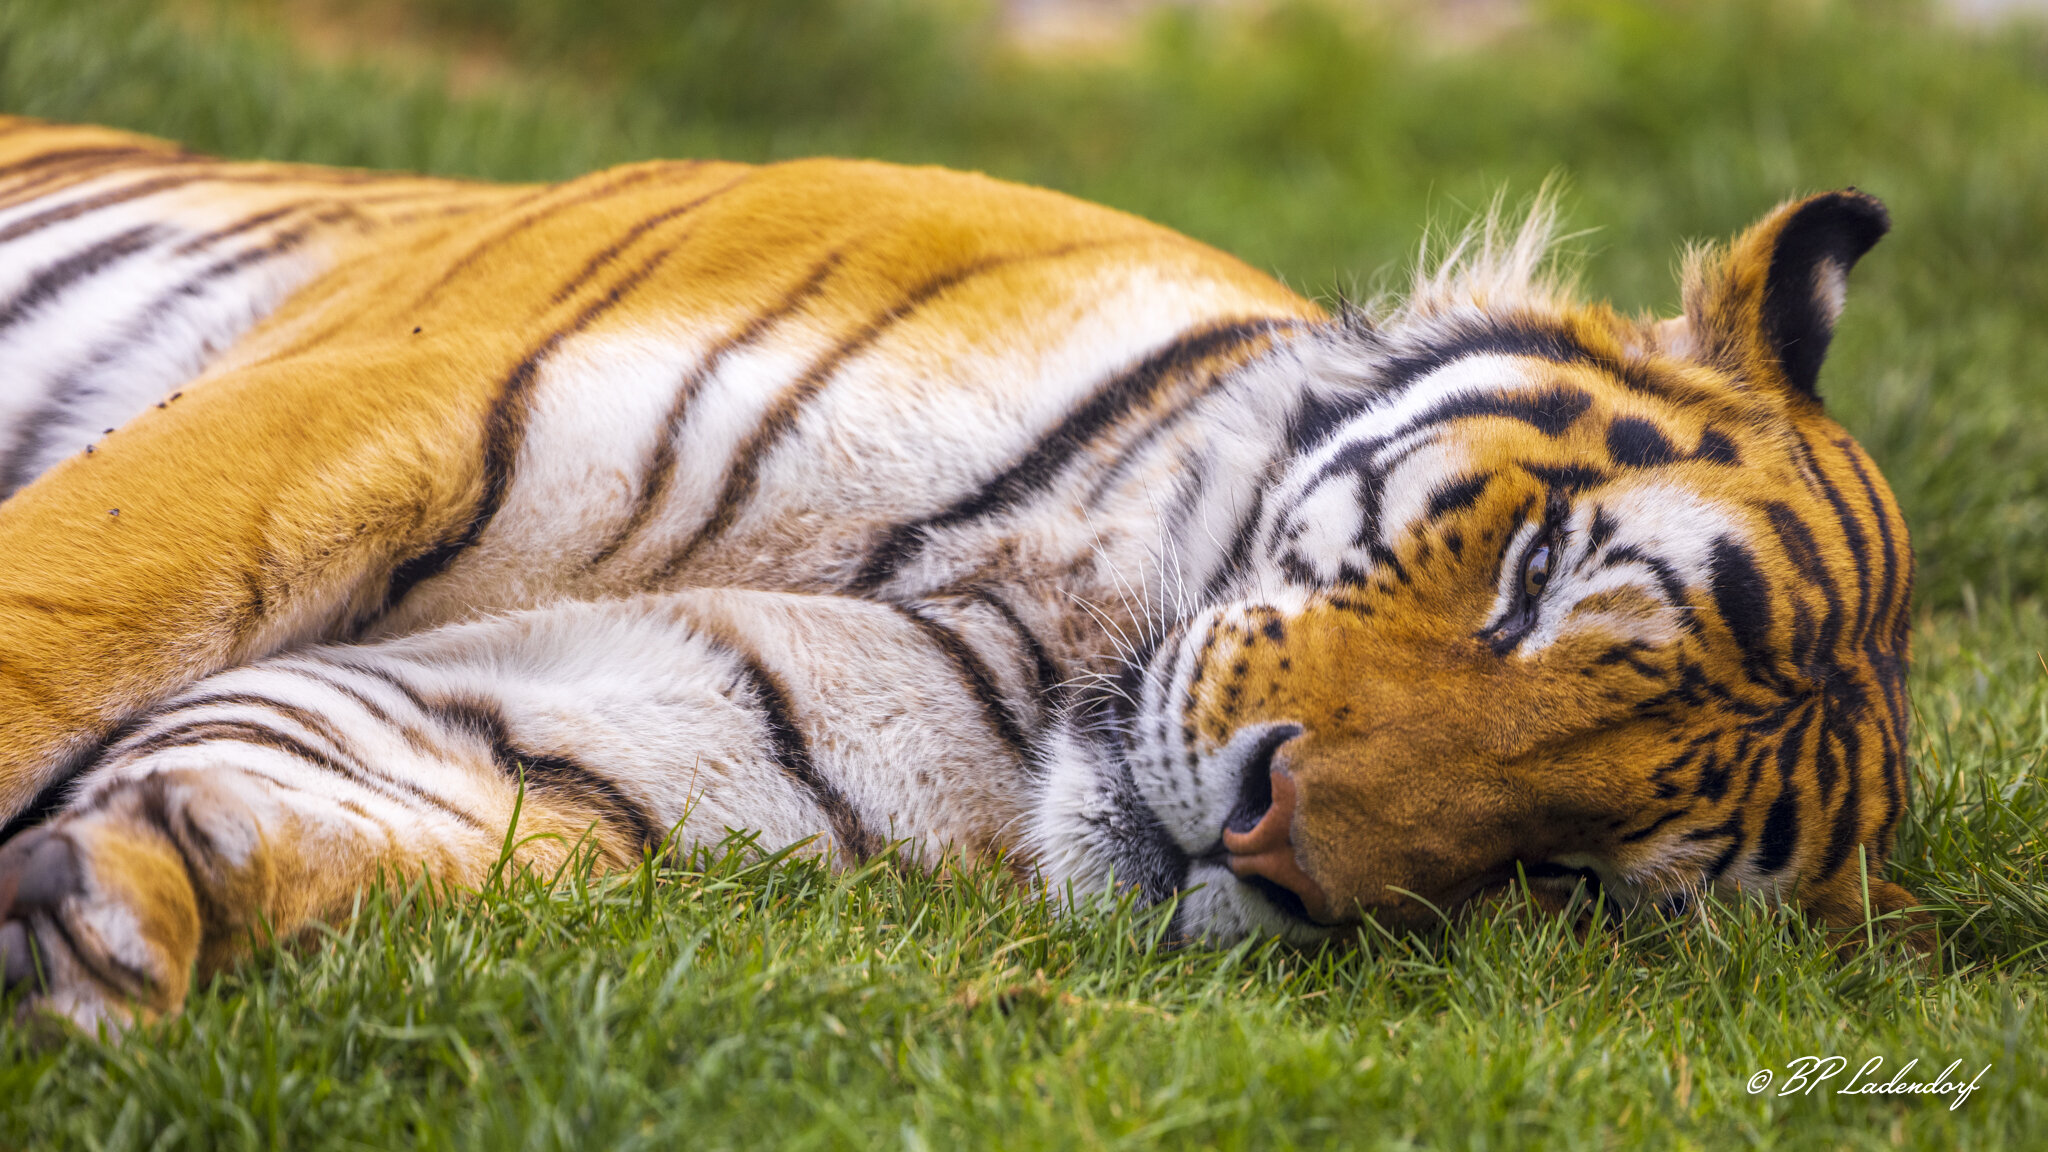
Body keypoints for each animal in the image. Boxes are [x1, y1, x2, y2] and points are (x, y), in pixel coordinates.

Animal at [0, 116, 1917, 1032]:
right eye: (1529, 579)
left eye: (1570, 879)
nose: (1269, 846)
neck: (1041, 604)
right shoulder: (391, 401)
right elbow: (60, 628)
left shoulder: (628, 715)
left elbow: (343, 785)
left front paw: (124, 908)